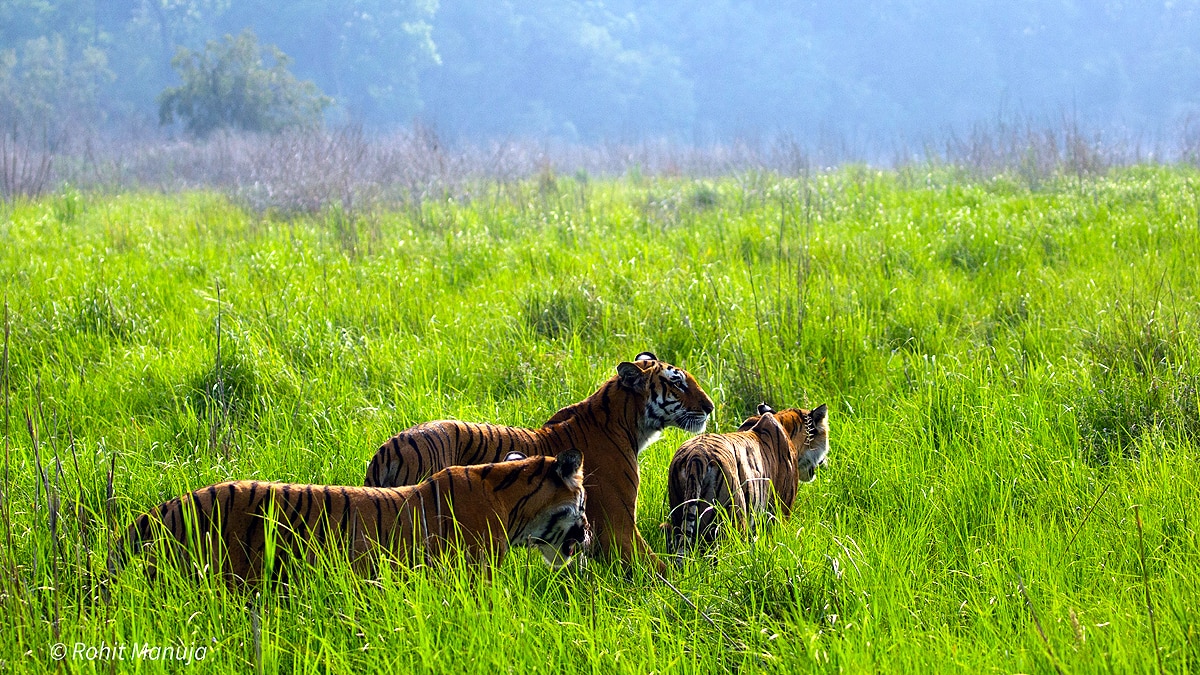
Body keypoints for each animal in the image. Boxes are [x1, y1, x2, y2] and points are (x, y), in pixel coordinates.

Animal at [364, 352, 714, 568]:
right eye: (677, 382)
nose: (710, 407)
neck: (628, 422)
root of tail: (386, 450)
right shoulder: (617, 524)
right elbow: (656, 569)